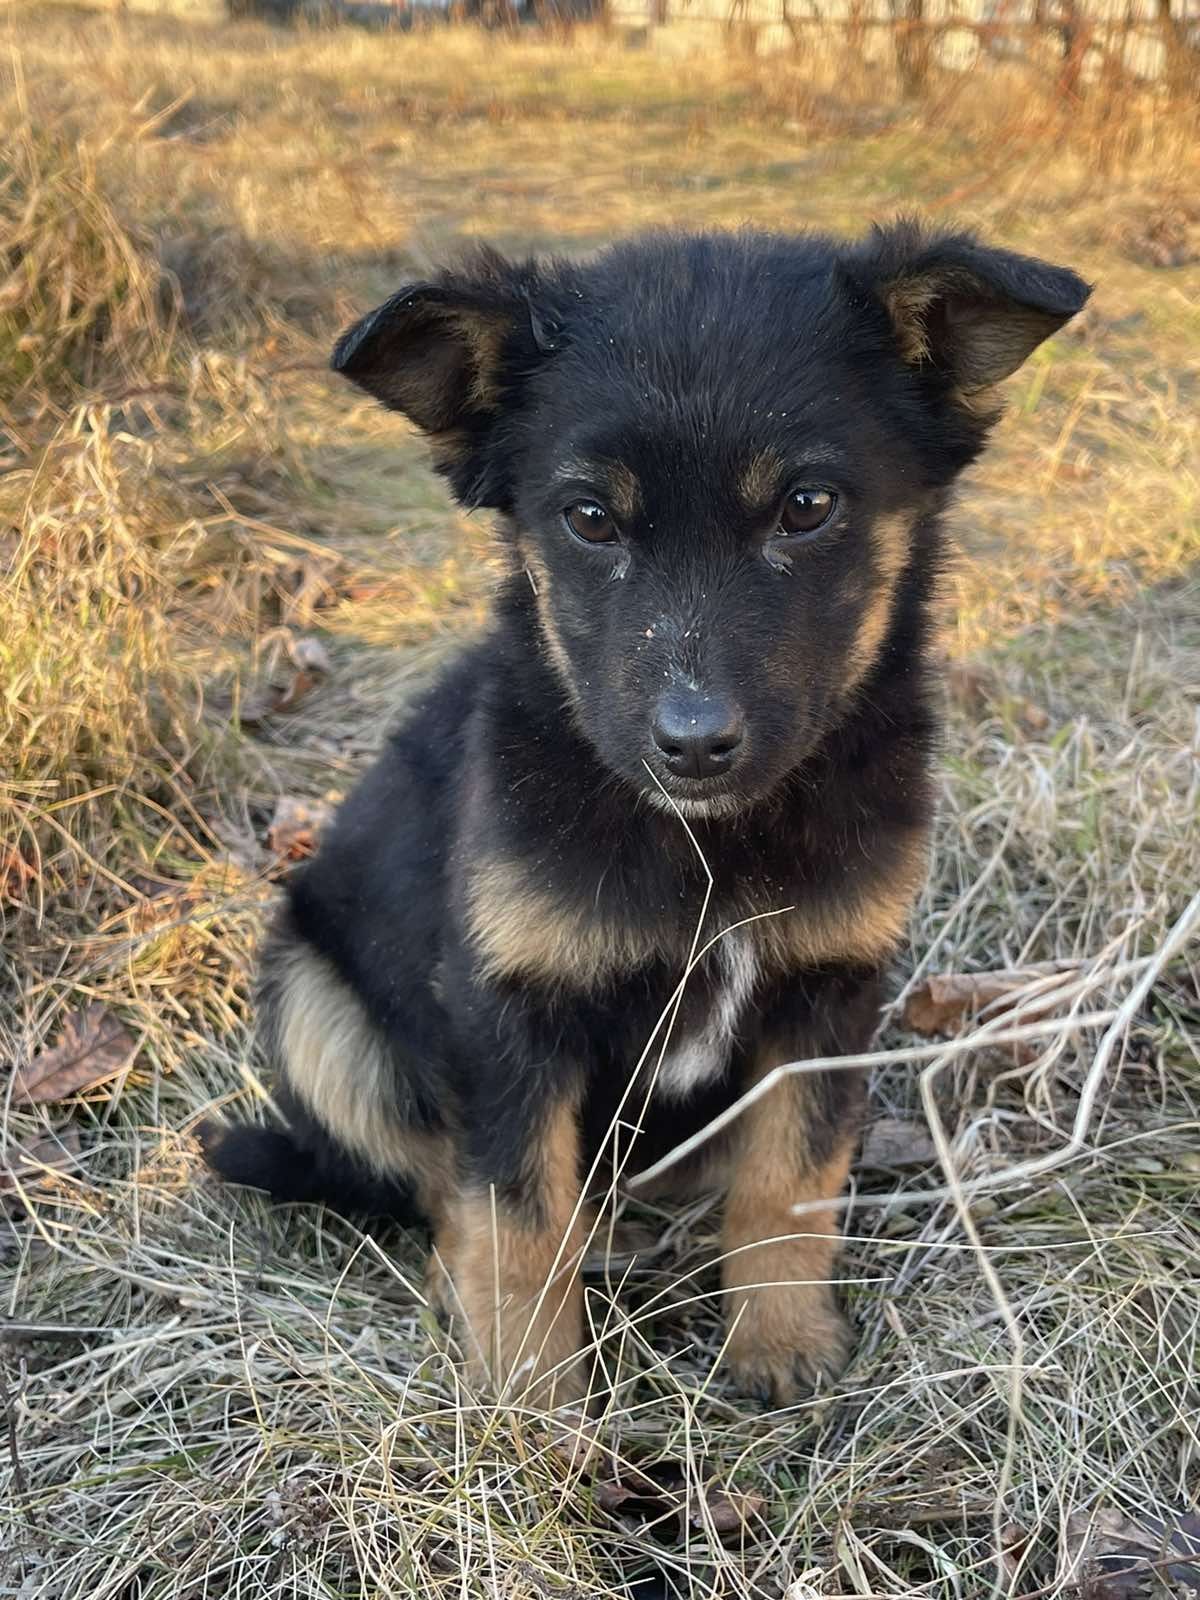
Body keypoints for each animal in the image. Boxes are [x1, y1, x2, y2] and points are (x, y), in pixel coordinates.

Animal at [204, 222, 1088, 1401]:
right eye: (588, 519)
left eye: (808, 506)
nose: (695, 744)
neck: (706, 842)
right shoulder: (504, 1011)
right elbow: (515, 1216)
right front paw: (531, 1401)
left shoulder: (827, 992)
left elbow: (789, 1176)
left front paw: (779, 1341)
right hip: (315, 1007)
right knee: (437, 1178)